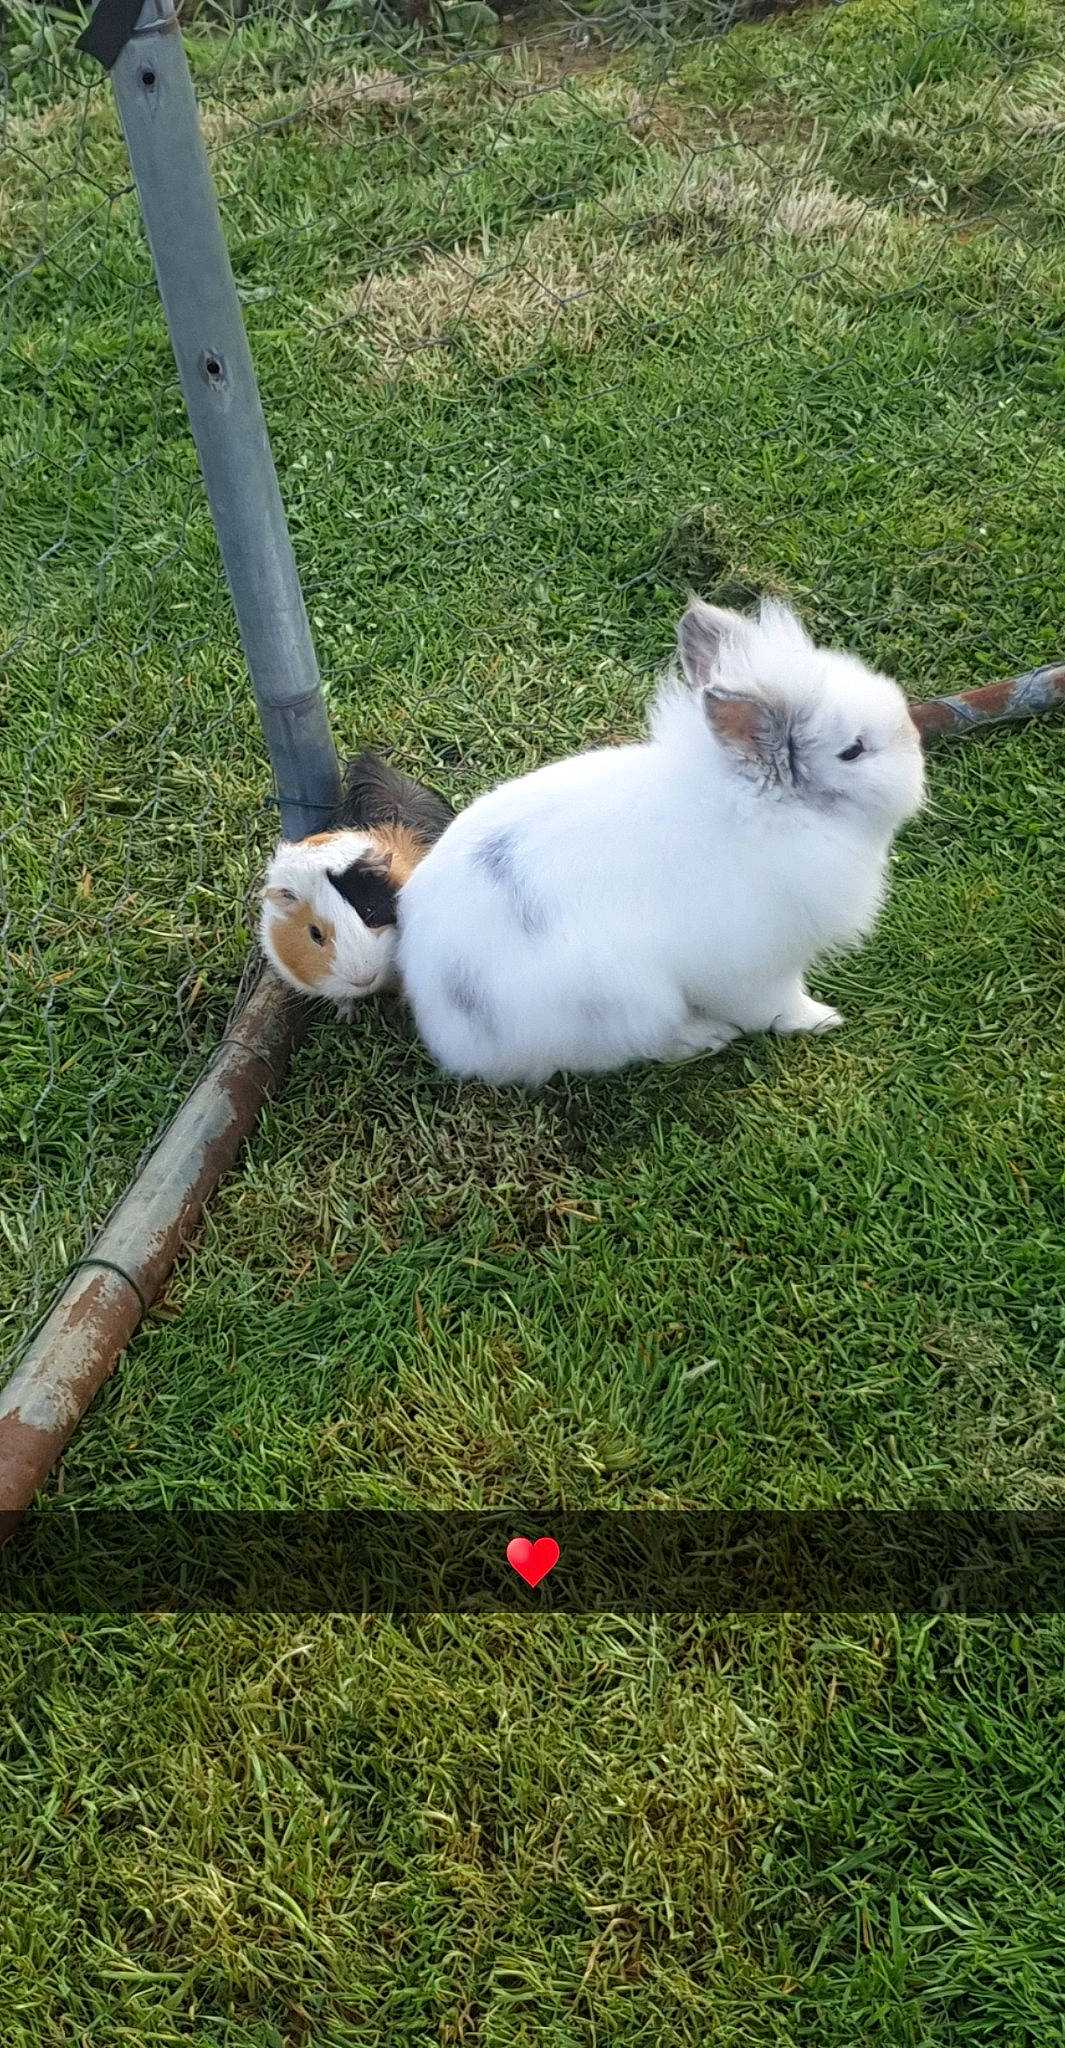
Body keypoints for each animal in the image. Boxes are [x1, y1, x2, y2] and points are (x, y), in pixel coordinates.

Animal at [396, 597, 926, 1087]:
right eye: (853, 751)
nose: (917, 744)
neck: (765, 810)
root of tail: (452, 1032)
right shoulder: (759, 969)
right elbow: (776, 1008)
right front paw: (822, 1020)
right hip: (633, 1000)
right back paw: (705, 1036)